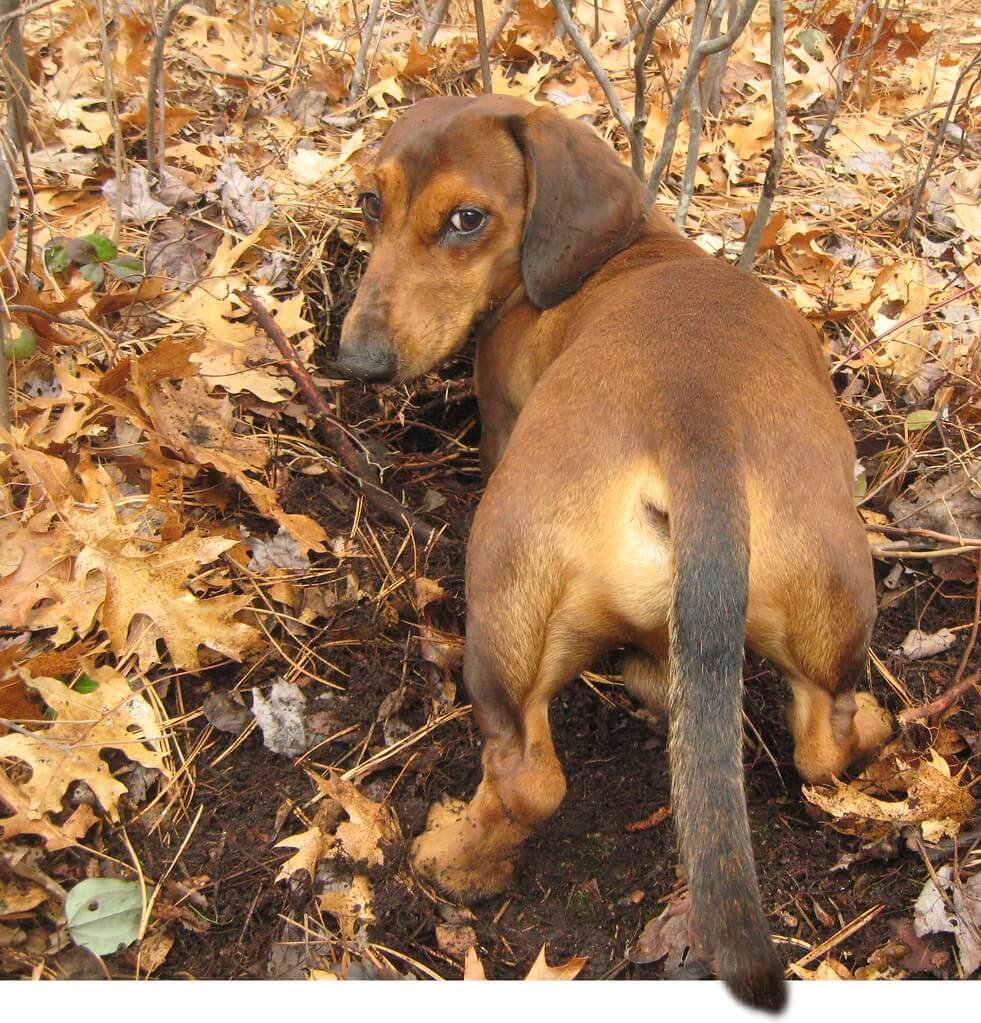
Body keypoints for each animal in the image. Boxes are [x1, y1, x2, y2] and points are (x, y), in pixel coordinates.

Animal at [339, 96, 896, 1006]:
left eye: (466, 219)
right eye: (367, 201)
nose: (356, 362)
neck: (632, 247)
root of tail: (698, 436)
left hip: (504, 608)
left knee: (527, 780)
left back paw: (454, 860)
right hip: (829, 606)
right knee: (824, 739)